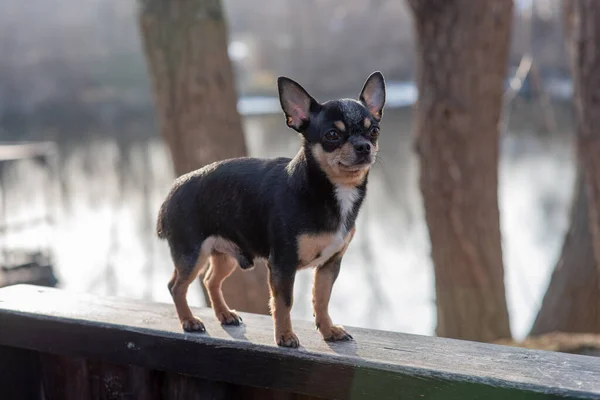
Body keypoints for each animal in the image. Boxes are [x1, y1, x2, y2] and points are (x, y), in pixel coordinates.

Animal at [157, 72, 386, 346]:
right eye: (332, 135)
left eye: (374, 130)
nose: (364, 146)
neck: (330, 190)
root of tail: (173, 189)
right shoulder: (282, 265)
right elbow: (284, 302)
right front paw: (285, 336)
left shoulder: (329, 265)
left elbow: (321, 299)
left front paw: (328, 330)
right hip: (191, 255)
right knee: (176, 286)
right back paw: (189, 321)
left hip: (224, 255)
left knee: (210, 280)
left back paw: (224, 314)